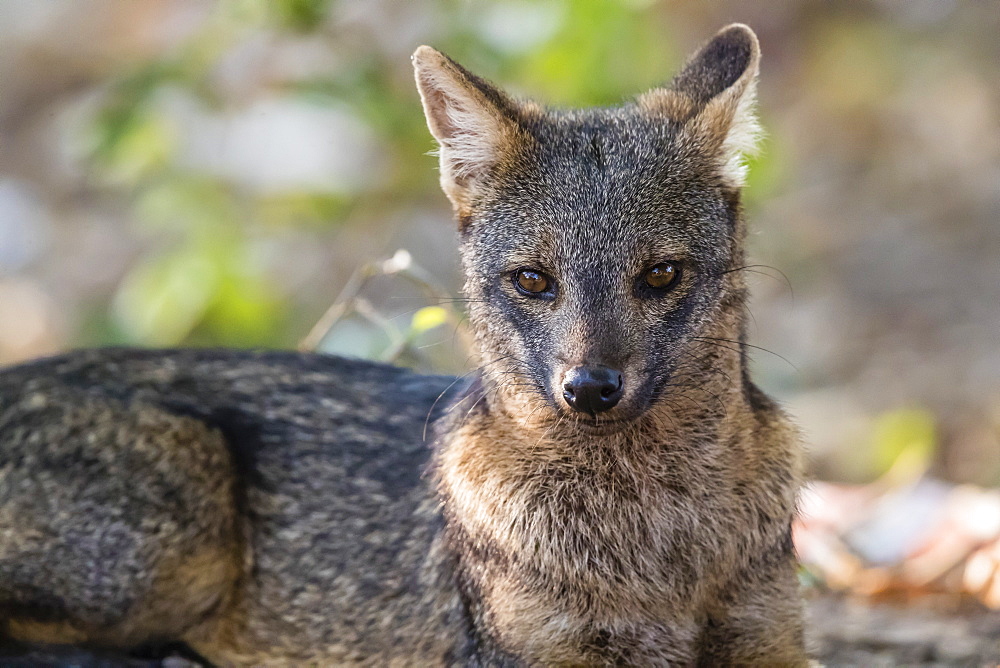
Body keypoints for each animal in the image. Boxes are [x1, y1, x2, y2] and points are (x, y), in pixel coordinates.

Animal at [0, 22, 808, 668]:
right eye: (534, 280)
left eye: (661, 274)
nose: (590, 388)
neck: (655, 546)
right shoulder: (532, 654)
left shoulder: (767, 639)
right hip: (181, 512)